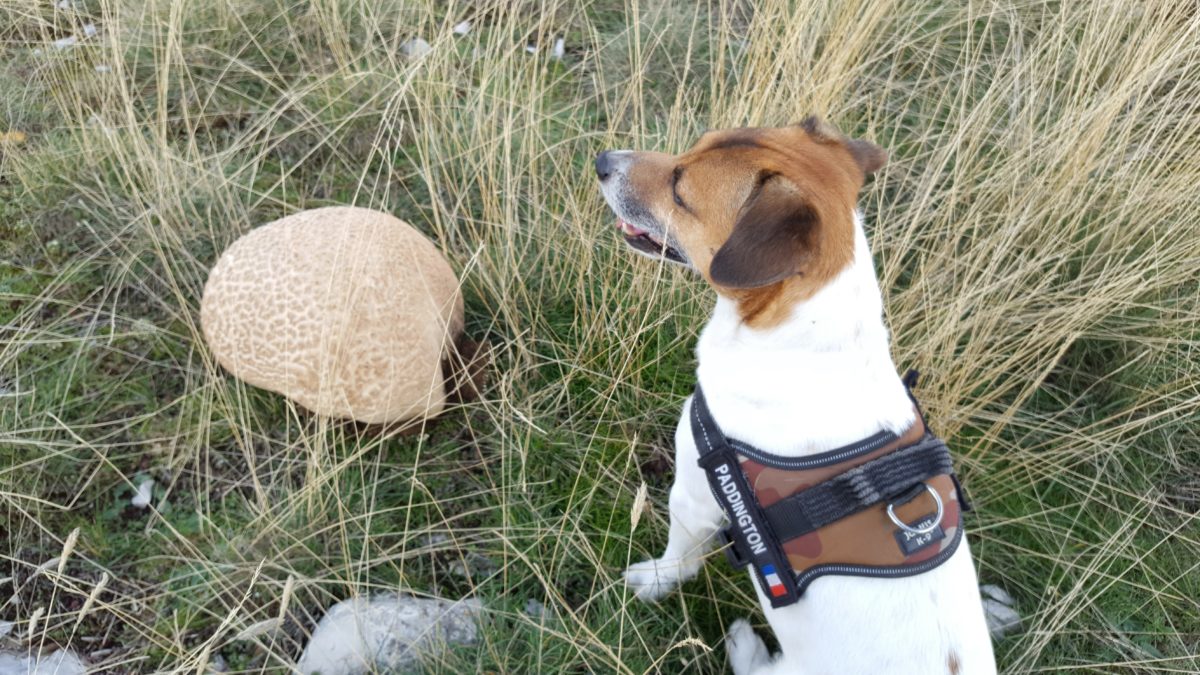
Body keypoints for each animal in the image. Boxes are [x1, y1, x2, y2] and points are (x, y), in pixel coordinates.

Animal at [595, 120, 998, 672]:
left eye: (680, 189)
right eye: (692, 147)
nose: (601, 161)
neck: (807, 341)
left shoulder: (696, 495)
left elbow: (680, 558)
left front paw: (653, 580)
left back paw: (743, 643)